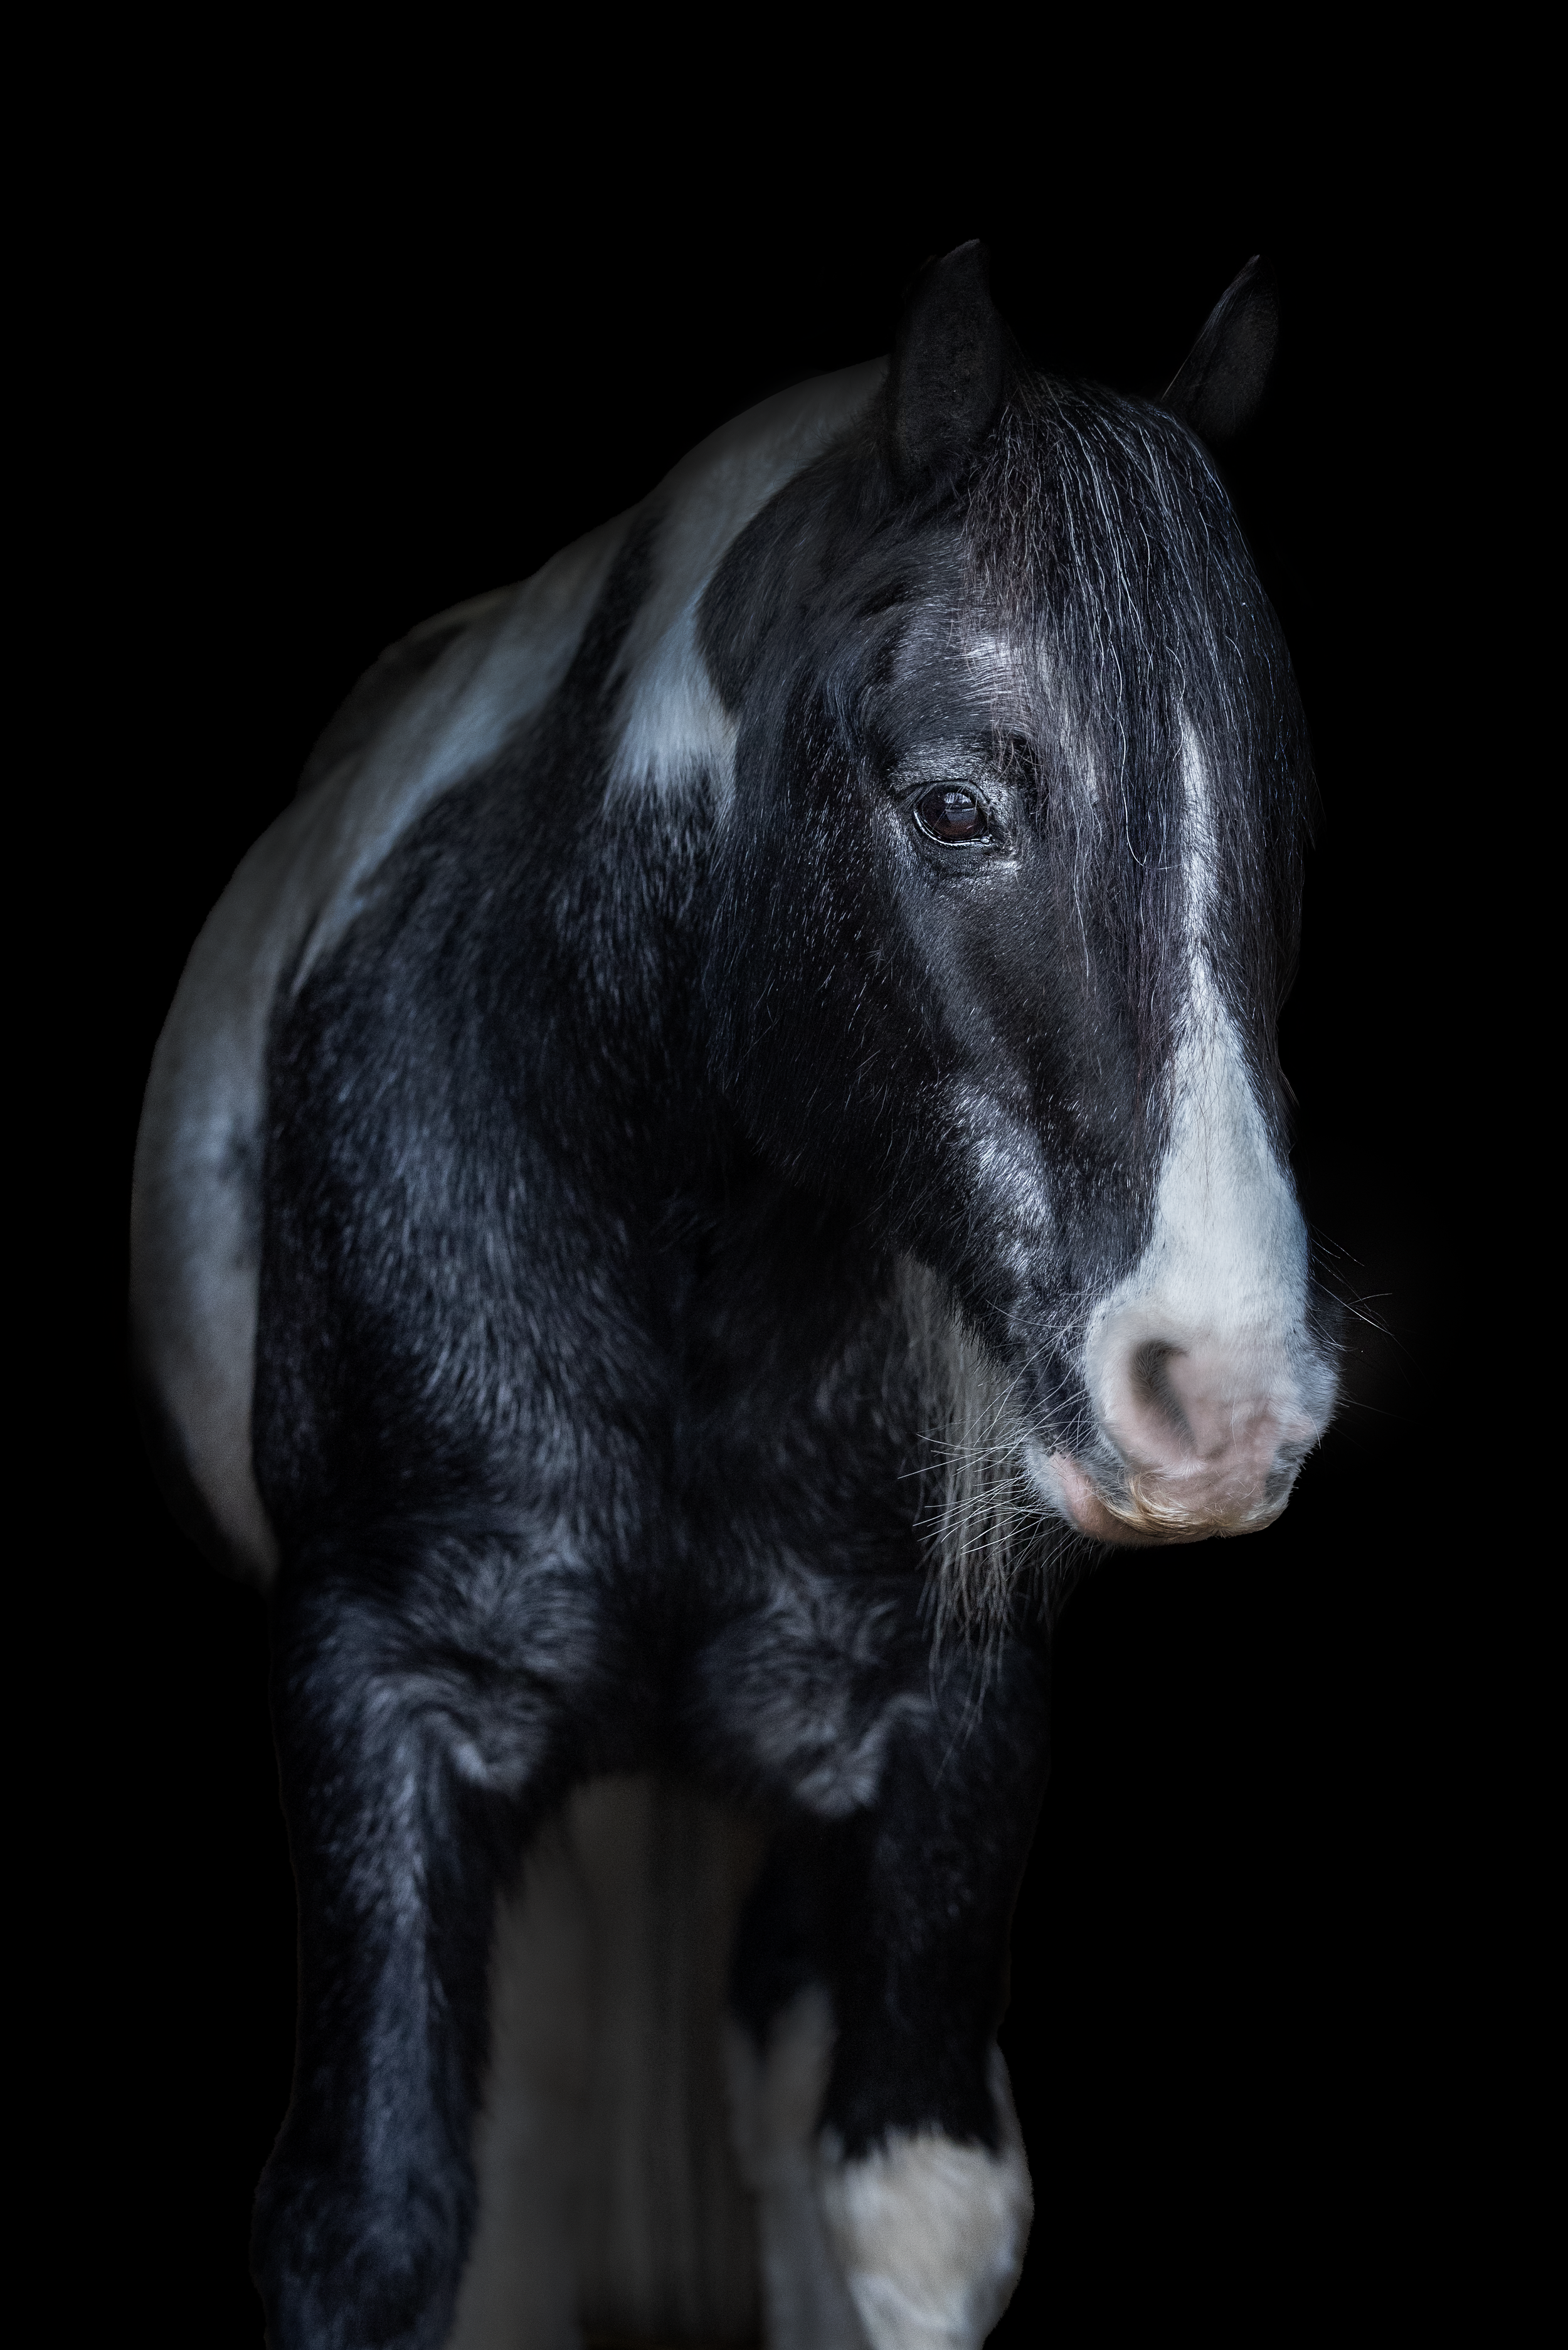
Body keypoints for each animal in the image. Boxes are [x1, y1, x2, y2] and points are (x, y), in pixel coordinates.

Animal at [131, 242, 1338, 2349]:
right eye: (951, 805)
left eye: (1283, 817)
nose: (1222, 1391)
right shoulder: (377, 1695)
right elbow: (376, 2228)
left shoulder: (947, 1733)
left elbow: (911, 2205)